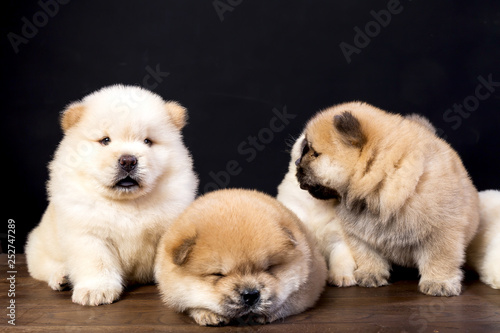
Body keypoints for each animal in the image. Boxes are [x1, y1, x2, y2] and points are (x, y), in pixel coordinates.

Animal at [24, 84, 197, 304]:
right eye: (105, 140)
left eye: (148, 141)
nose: (128, 160)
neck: (126, 203)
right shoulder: (88, 233)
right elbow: (97, 262)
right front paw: (95, 292)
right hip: (38, 247)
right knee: (46, 268)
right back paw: (63, 278)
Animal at [156, 188, 328, 326]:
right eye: (218, 274)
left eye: (269, 268)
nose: (251, 295)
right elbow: (189, 303)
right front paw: (208, 314)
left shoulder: (308, 286)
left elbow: (287, 302)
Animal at [294, 101, 478, 296]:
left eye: (315, 153)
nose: (297, 163)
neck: (381, 184)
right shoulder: (360, 235)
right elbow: (368, 255)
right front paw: (371, 274)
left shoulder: (441, 232)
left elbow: (440, 259)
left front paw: (439, 282)